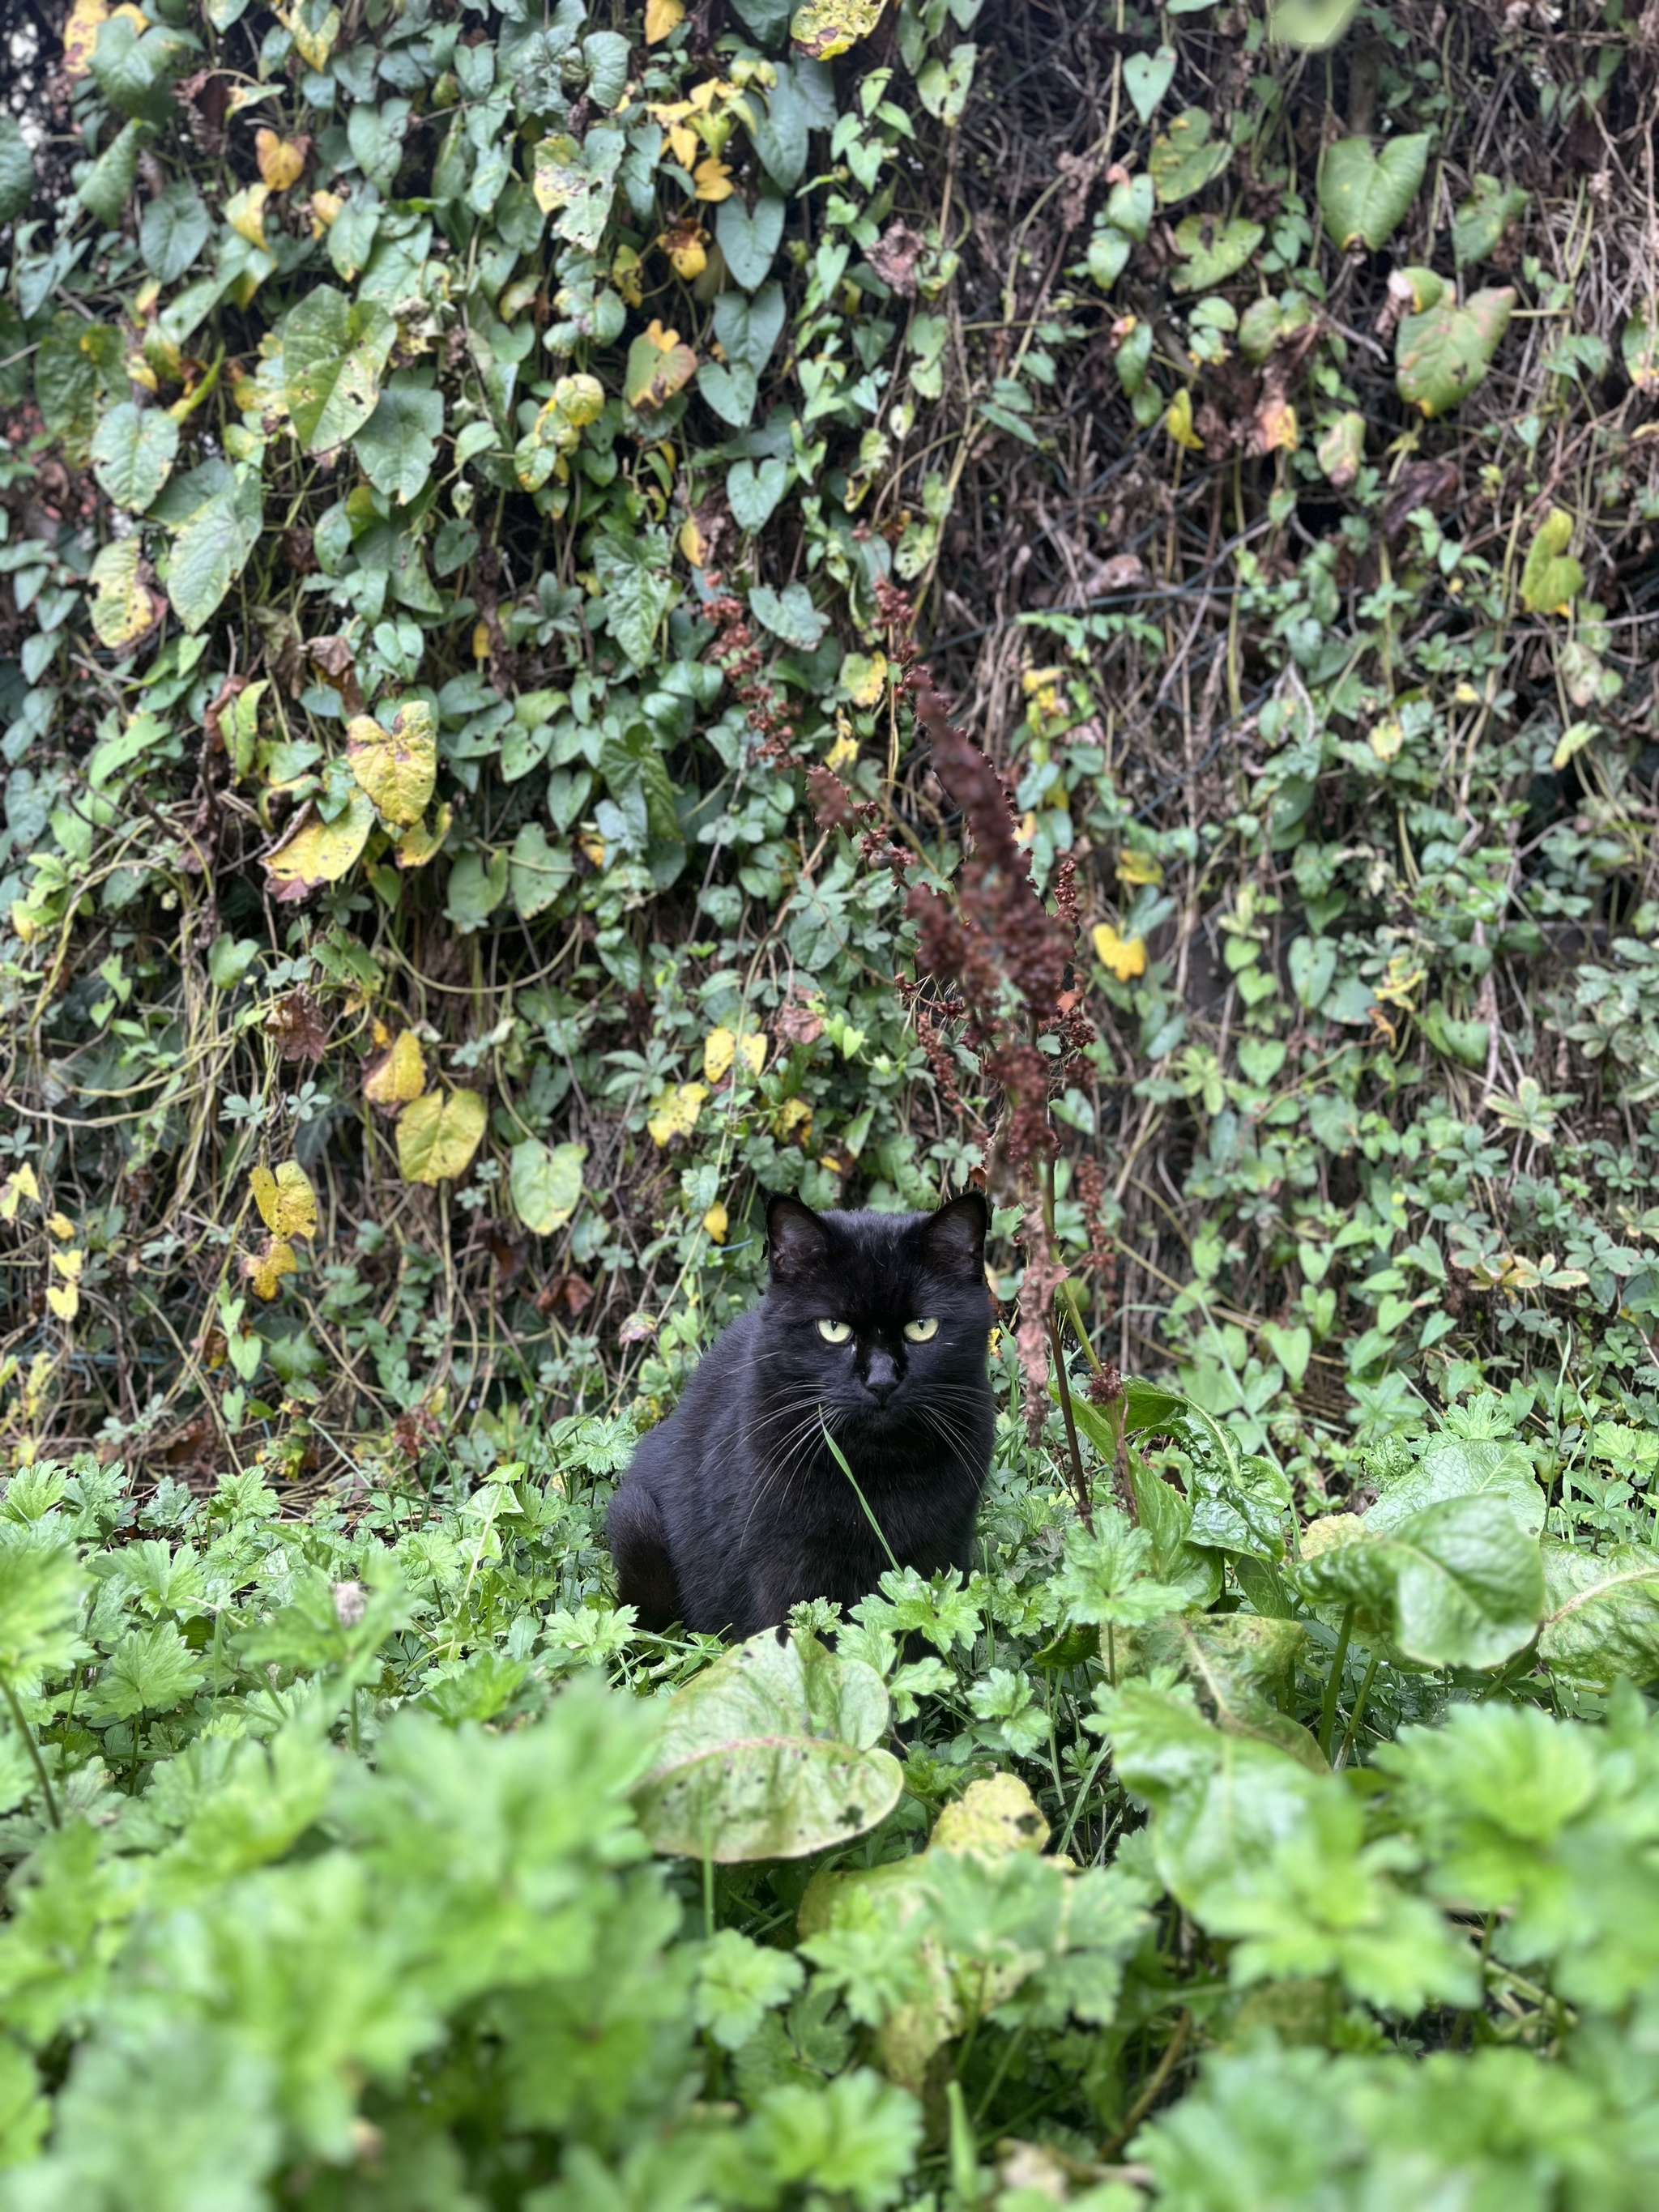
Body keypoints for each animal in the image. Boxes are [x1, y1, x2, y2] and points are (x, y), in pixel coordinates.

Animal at [610, 1194, 1000, 1645]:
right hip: (637, 1527)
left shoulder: (938, 1552)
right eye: (833, 1328)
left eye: (923, 1327)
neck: (874, 1472)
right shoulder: (787, 1567)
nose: (881, 1381)